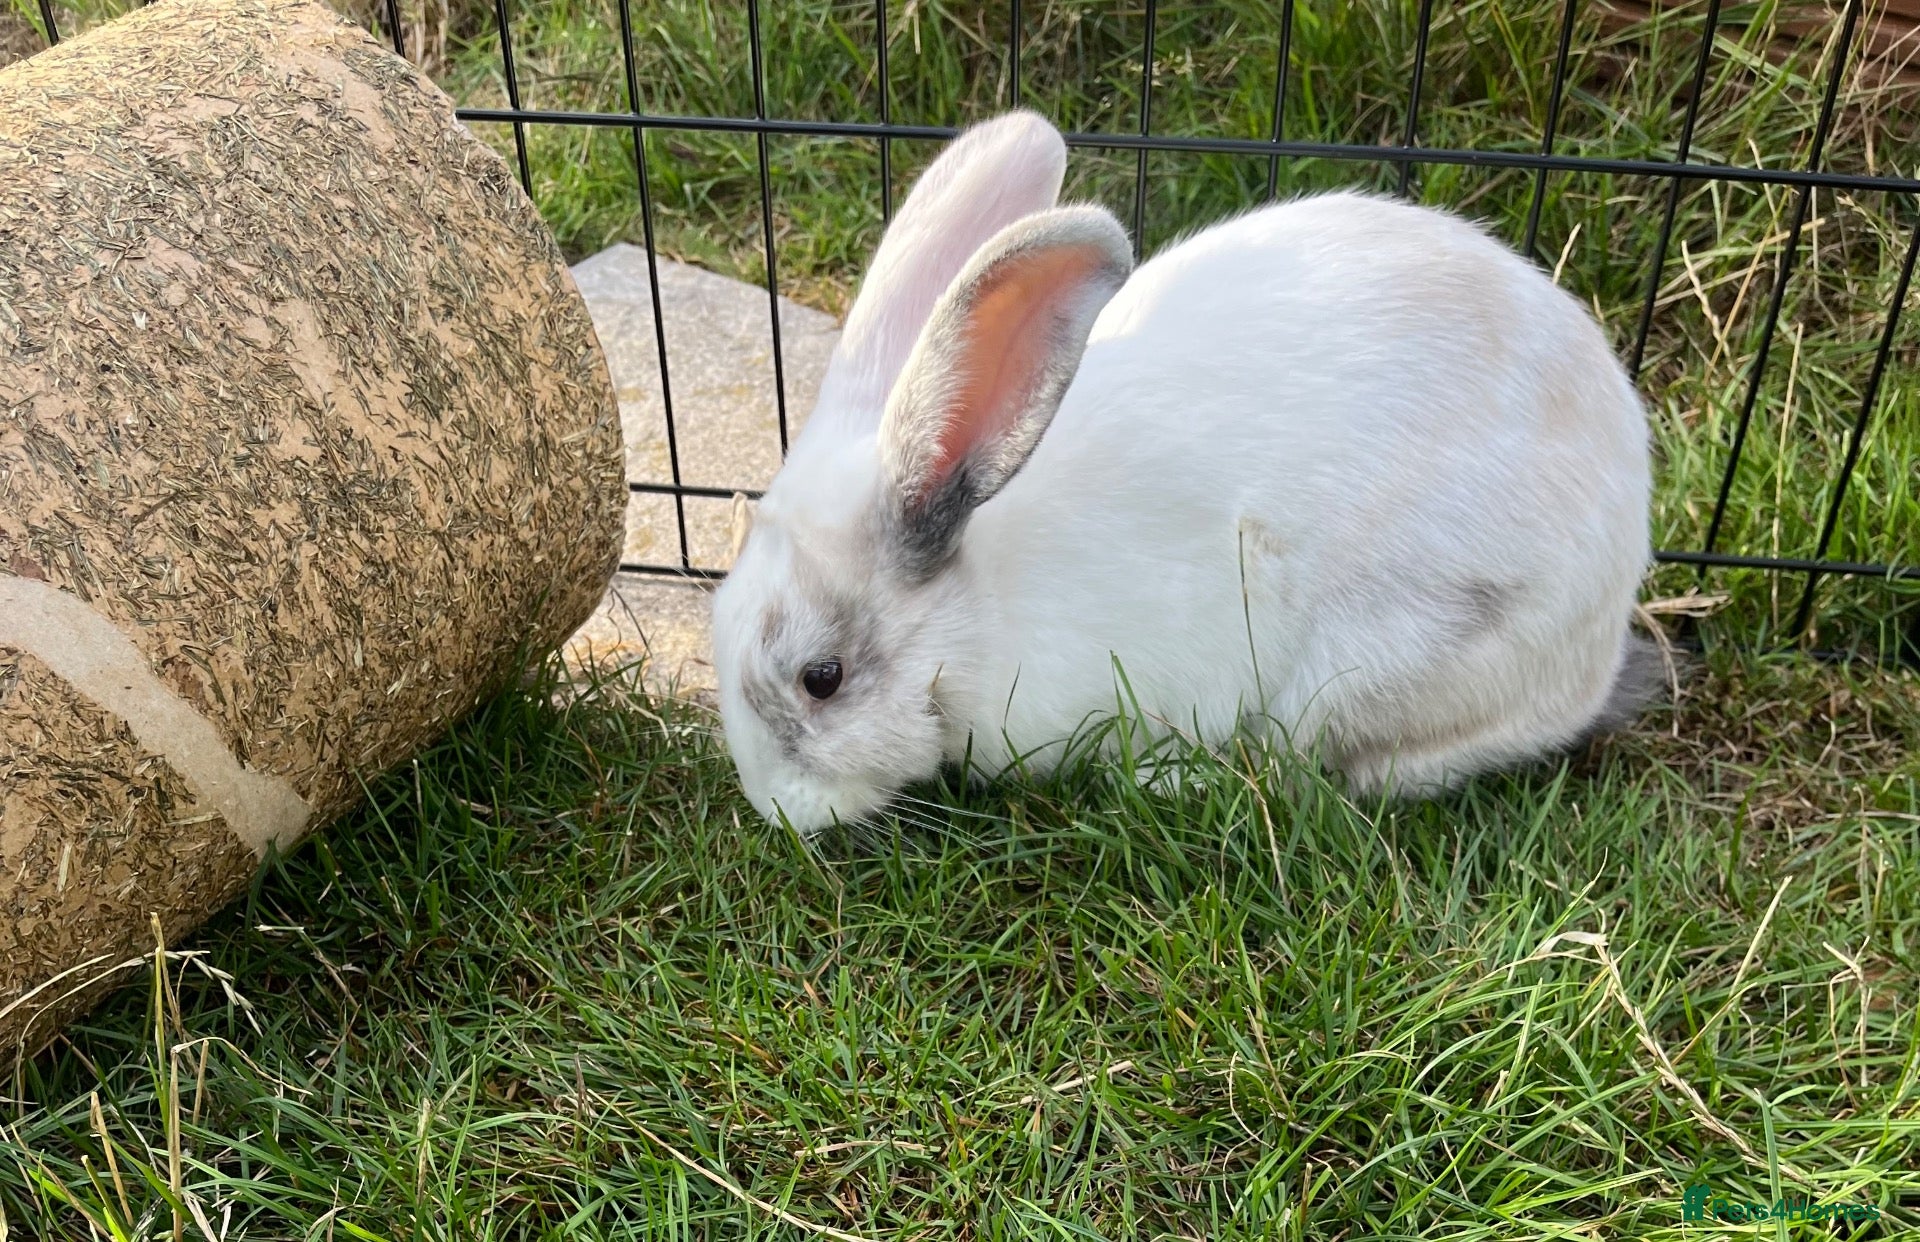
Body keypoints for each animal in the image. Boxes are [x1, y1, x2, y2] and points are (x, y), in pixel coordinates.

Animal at [711, 109, 1653, 835]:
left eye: (822, 679)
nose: (776, 811)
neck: (979, 612)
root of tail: (1597, 648)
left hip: (1373, 658)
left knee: (1315, 773)